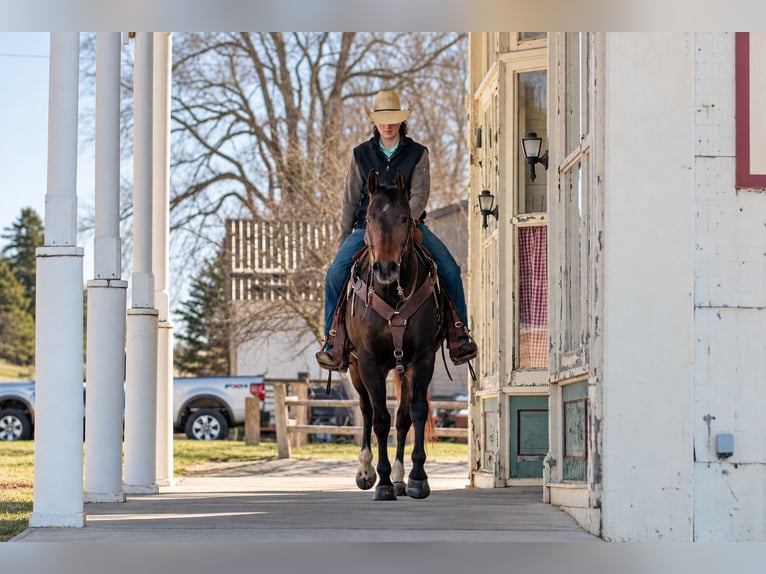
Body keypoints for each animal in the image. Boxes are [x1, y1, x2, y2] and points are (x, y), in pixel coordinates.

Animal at [345, 168, 444, 500]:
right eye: (370, 218)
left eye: (404, 218)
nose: (385, 268)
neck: (393, 294)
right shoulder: (368, 361)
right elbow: (379, 419)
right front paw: (383, 481)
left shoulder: (422, 359)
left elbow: (415, 413)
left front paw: (416, 478)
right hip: (354, 367)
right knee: (366, 410)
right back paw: (366, 471)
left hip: (402, 369)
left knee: (402, 418)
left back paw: (401, 478)